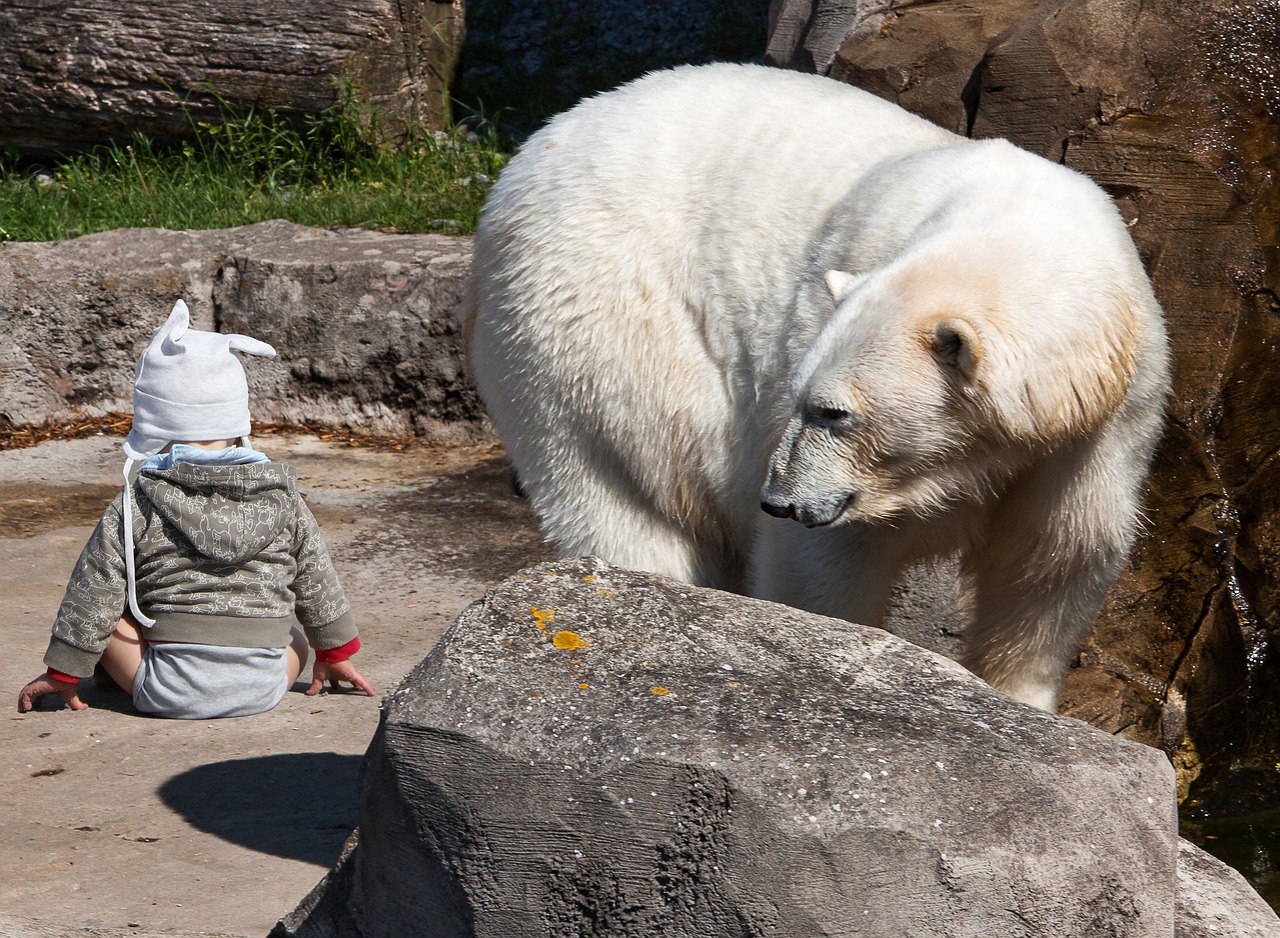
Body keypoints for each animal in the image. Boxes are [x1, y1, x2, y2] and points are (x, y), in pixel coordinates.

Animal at [471, 63, 1172, 711]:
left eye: (834, 412)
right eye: (803, 398)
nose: (777, 500)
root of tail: (521, 164)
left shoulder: (1104, 424)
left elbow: (1053, 560)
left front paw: (1021, 702)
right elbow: (824, 565)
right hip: (601, 330)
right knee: (625, 499)